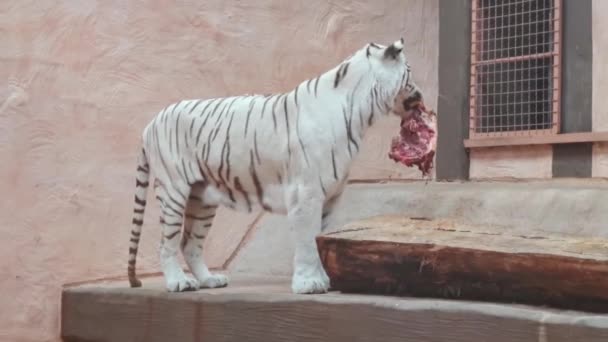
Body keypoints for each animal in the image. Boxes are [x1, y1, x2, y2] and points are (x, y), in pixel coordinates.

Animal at [127, 38, 422, 294]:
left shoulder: (330, 196)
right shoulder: (306, 193)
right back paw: (179, 283)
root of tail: (151, 123)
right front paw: (308, 284)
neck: (361, 112)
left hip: (202, 199)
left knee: (190, 243)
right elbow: (307, 241)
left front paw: (323, 279)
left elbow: (321, 239)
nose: (420, 94)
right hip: (174, 191)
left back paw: (209, 280)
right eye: (409, 72)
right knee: (166, 243)